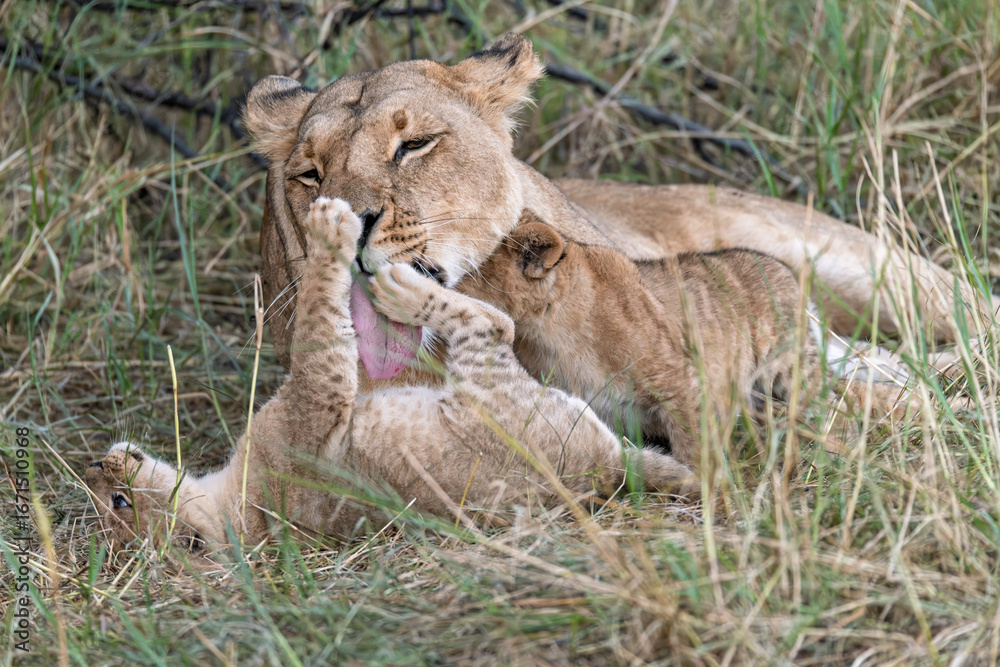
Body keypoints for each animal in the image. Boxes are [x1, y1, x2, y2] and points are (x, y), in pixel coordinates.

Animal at [86, 198, 696, 551]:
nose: (96, 464)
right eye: (119, 504)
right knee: (492, 323)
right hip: (488, 383)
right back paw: (404, 289)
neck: (243, 516)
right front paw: (329, 230)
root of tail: (606, 470)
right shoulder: (315, 400)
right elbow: (318, 327)